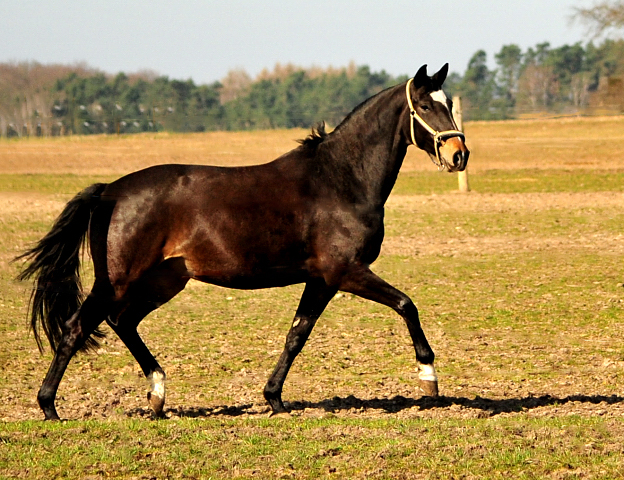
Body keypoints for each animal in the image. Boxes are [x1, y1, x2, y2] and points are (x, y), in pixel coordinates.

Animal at [15, 63, 468, 420]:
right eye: (425, 106)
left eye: (449, 102)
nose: (459, 154)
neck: (340, 180)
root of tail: (110, 190)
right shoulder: (346, 271)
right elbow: (406, 304)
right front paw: (429, 379)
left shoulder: (321, 279)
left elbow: (297, 334)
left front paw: (275, 399)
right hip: (118, 279)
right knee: (78, 326)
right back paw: (49, 407)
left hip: (164, 280)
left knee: (122, 321)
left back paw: (157, 395)